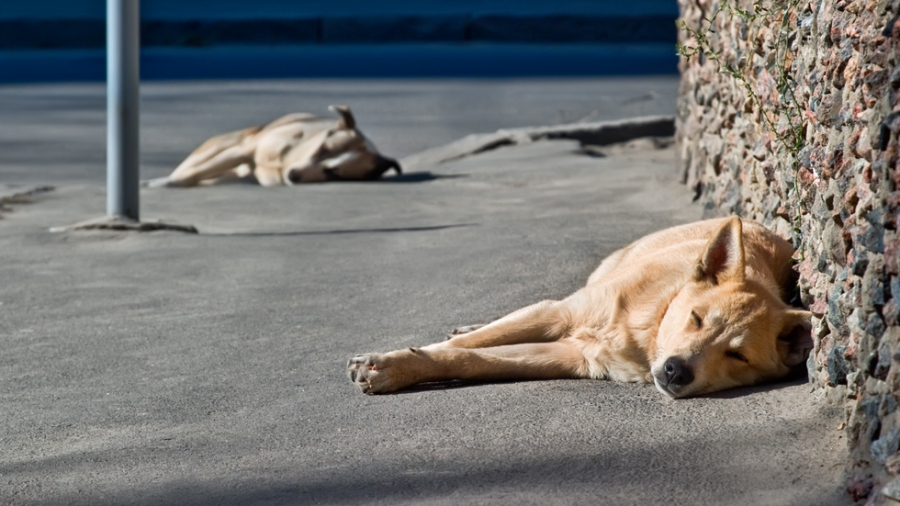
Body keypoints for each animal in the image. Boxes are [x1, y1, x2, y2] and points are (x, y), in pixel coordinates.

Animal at [146, 105, 400, 189]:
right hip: (222, 146)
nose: (294, 175)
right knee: (192, 168)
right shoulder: (246, 150)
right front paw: (164, 183)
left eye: (333, 173)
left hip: (235, 175)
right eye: (322, 149)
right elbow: (189, 174)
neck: (286, 161)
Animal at [348, 217, 812, 400]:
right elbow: (465, 347)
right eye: (696, 318)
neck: (646, 329)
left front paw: (398, 367)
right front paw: (391, 362)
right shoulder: (559, 314)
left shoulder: (570, 355)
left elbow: (474, 359)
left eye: (738, 355)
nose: (675, 371)